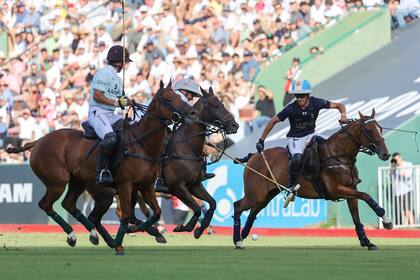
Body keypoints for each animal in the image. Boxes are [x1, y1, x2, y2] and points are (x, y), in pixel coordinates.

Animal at [7, 80, 195, 254]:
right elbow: (127, 215)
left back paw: (95, 236)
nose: (192, 113)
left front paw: (146, 231)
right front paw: (121, 244)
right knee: (47, 205)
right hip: (58, 183)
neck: (142, 144)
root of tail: (39, 141)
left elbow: (155, 212)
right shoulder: (126, 185)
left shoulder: (146, 186)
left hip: (78, 182)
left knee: (70, 205)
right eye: (170, 98)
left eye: (182, 97)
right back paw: (74, 236)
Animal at [233, 109, 394, 249]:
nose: (385, 154)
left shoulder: (351, 189)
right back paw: (237, 241)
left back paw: (242, 236)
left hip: (267, 194)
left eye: (380, 128)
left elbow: (356, 217)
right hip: (255, 193)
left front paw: (367, 242)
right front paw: (386, 220)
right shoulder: (336, 190)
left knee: (253, 212)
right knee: (238, 206)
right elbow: (366, 196)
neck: (339, 156)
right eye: (369, 130)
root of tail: (254, 155)